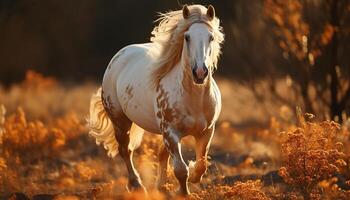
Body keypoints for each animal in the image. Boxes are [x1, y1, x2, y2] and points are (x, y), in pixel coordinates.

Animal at [88, 4, 224, 195]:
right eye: (187, 37)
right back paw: (136, 185)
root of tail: (121, 55)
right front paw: (184, 193)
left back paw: (160, 186)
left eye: (211, 37)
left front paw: (192, 178)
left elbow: (201, 164)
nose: (200, 73)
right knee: (125, 150)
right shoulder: (171, 133)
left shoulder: (206, 131)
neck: (194, 99)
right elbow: (181, 169)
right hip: (120, 120)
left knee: (159, 153)